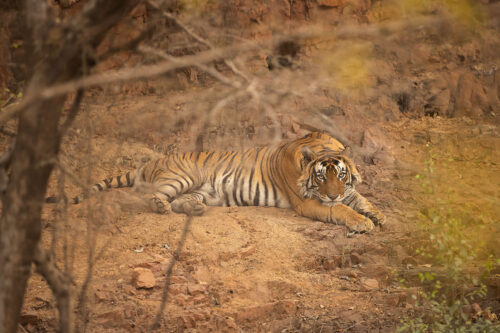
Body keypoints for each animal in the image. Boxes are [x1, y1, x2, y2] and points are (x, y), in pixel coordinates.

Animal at [48, 131, 386, 232]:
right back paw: (160, 206)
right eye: (320, 178)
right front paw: (363, 223)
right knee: (154, 195)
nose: (332, 194)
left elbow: (362, 201)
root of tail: (155, 160)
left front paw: (380, 216)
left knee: (184, 202)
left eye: (340, 175)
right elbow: (342, 210)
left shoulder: (348, 191)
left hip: (202, 191)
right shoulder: (309, 203)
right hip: (184, 176)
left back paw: (194, 211)